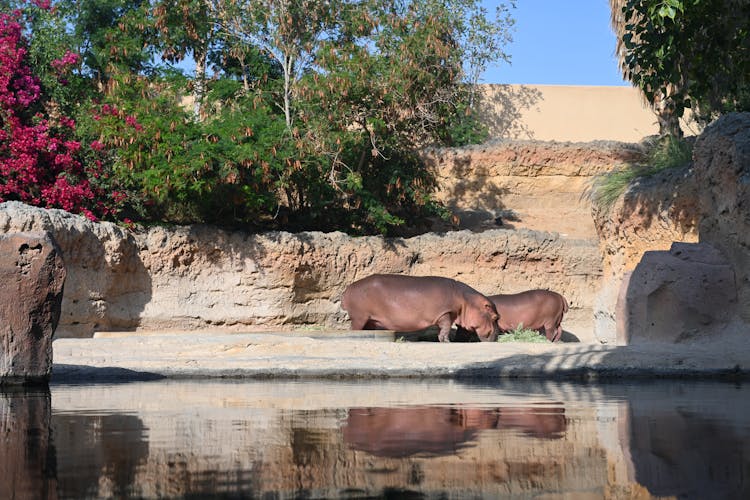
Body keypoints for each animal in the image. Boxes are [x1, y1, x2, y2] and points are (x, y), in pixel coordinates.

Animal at [344, 274, 502, 344]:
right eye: (495, 317)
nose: (497, 337)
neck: (467, 301)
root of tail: (348, 288)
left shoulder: (453, 315)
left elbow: (450, 328)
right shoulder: (446, 313)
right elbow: (445, 327)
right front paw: (446, 341)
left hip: (369, 320)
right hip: (359, 317)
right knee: (353, 330)